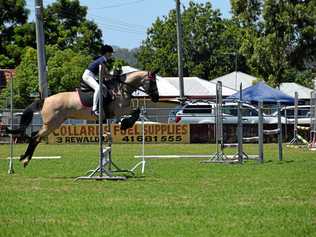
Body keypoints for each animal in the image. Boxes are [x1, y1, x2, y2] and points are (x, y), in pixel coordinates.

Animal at [6, 70, 160, 167]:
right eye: (152, 83)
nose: (156, 98)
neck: (121, 89)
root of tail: (45, 100)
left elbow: (137, 111)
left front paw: (124, 124)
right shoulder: (120, 110)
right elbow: (135, 112)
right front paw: (125, 124)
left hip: (53, 124)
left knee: (35, 136)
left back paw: (25, 159)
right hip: (52, 123)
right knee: (35, 137)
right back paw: (25, 159)